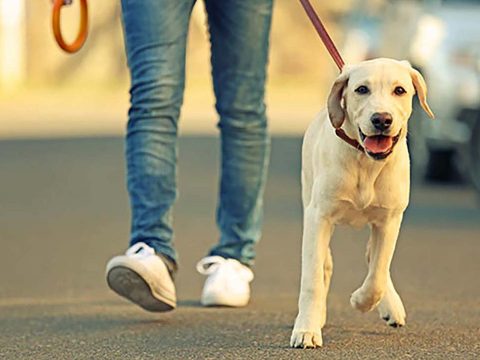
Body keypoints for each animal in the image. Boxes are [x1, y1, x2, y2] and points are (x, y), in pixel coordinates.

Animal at [290, 59, 434, 348]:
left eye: (399, 90)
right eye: (361, 89)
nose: (381, 119)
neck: (365, 163)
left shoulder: (389, 220)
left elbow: (378, 272)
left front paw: (361, 300)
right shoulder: (318, 217)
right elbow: (312, 278)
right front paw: (307, 328)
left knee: (375, 258)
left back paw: (391, 306)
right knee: (325, 263)